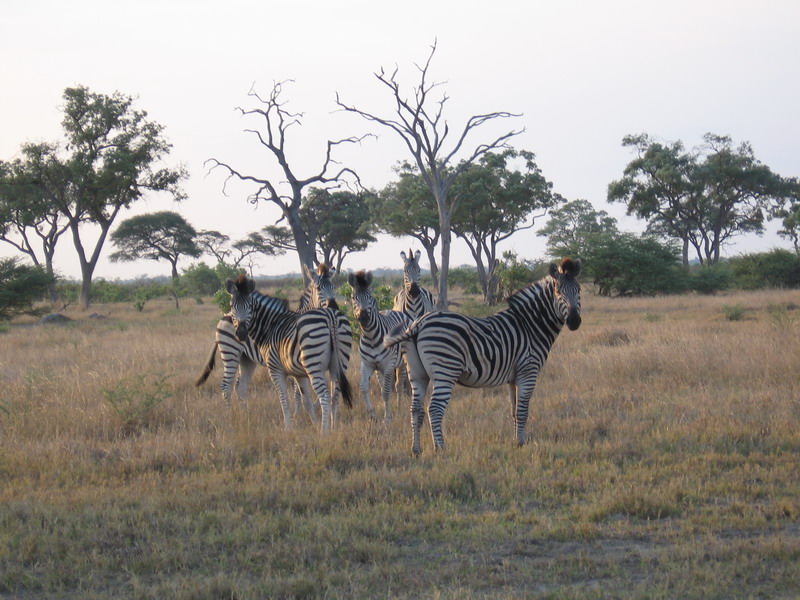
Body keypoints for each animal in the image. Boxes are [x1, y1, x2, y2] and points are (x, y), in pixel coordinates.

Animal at [225, 274, 350, 434]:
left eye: (250, 307)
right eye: (232, 306)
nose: (241, 333)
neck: (269, 326)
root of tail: (330, 316)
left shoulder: (275, 370)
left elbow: (284, 399)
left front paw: (288, 428)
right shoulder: (299, 373)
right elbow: (305, 400)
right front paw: (313, 423)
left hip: (313, 365)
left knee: (325, 395)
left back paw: (324, 431)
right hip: (339, 364)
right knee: (335, 394)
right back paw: (333, 428)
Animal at [348, 270, 412, 422]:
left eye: (370, 296)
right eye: (353, 297)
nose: (363, 317)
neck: (370, 336)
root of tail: (396, 311)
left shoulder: (388, 364)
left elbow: (386, 391)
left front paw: (387, 417)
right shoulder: (367, 364)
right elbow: (364, 388)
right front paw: (373, 415)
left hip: (401, 362)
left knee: (398, 385)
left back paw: (399, 408)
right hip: (379, 369)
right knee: (386, 384)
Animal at [384, 258, 584, 454]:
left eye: (579, 290)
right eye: (558, 292)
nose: (574, 321)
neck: (530, 325)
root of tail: (418, 323)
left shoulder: (514, 376)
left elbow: (514, 410)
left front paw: (517, 441)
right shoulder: (529, 370)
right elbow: (522, 411)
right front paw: (522, 443)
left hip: (418, 373)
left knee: (415, 409)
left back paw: (416, 449)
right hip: (445, 371)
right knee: (434, 409)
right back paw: (440, 449)